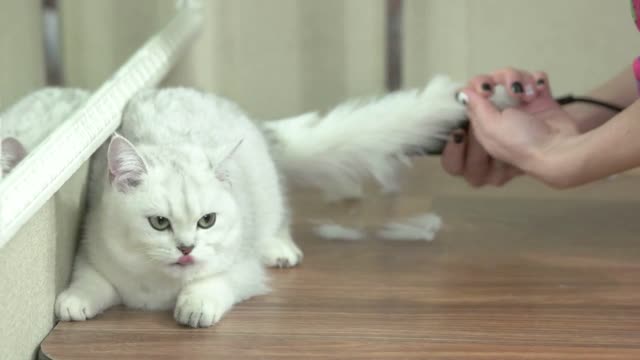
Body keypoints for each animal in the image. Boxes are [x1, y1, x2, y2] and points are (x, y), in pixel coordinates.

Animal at [55, 75, 470, 326]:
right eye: (159, 223)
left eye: (207, 220)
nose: (187, 248)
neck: (158, 287)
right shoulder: (91, 248)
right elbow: (91, 280)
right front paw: (72, 300)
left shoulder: (242, 269)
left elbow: (214, 282)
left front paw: (195, 305)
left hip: (267, 190)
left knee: (280, 220)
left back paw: (280, 250)